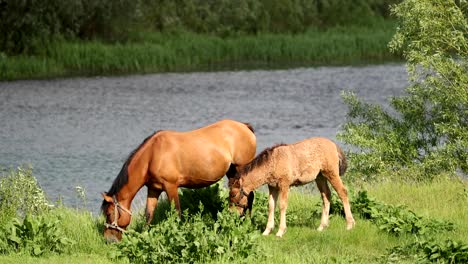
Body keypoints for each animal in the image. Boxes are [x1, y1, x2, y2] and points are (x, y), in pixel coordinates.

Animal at [101, 119, 256, 241]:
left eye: (108, 214)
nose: (108, 240)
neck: (152, 155)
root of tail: (245, 126)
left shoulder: (171, 187)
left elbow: (177, 213)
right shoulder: (153, 189)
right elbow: (149, 215)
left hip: (242, 169)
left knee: (249, 195)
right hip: (232, 172)